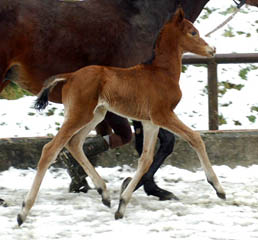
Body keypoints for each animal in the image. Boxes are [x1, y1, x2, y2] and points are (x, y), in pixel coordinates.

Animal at [0, 0, 246, 202]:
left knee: (73, 142)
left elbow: (146, 149)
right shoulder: (157, 114)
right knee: (56, 146)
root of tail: (69, 76)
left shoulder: (146, 118)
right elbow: (182, 140)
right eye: (193, 32)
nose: (212, 49)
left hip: (91, 113)